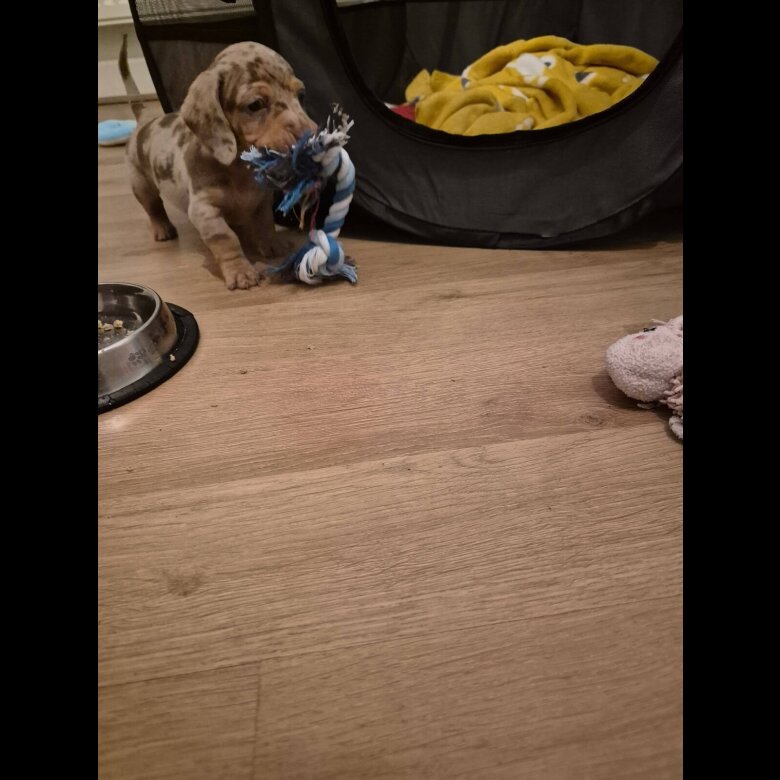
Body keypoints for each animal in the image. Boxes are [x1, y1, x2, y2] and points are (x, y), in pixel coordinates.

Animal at [120, 39, 317, 290]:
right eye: (255, 104)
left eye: (301, 95)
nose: (311, 139)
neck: (239, 171)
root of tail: (144, 122)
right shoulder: (204, 211)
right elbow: (227, 240)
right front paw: (240, 271)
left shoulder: (262, 201)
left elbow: (265, 224)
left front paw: (272, 244)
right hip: (141, 185)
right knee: (153, 208)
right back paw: (162, 228)